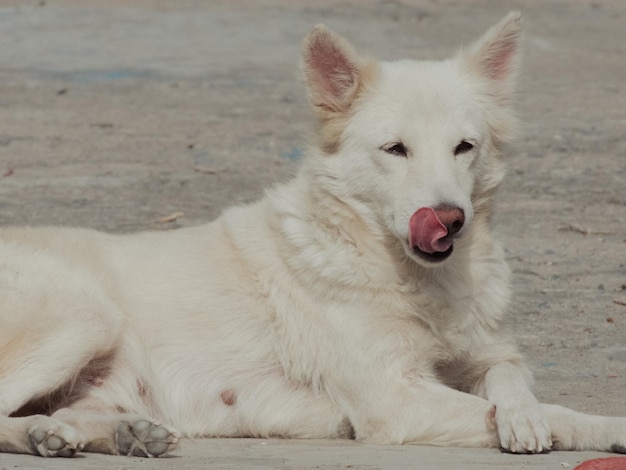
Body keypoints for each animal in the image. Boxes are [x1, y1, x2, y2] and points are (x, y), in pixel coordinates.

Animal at [1, 11, 624, 458]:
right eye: (396, 149)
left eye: (464, 147)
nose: (449, 218)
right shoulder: (395, 400)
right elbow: (553, 411)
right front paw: (580, 425)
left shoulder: (485, 355)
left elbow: (513, 379)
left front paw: (530, 416)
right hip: (86, 316)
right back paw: (42, 438)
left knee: (59, 412)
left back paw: (119, 434)